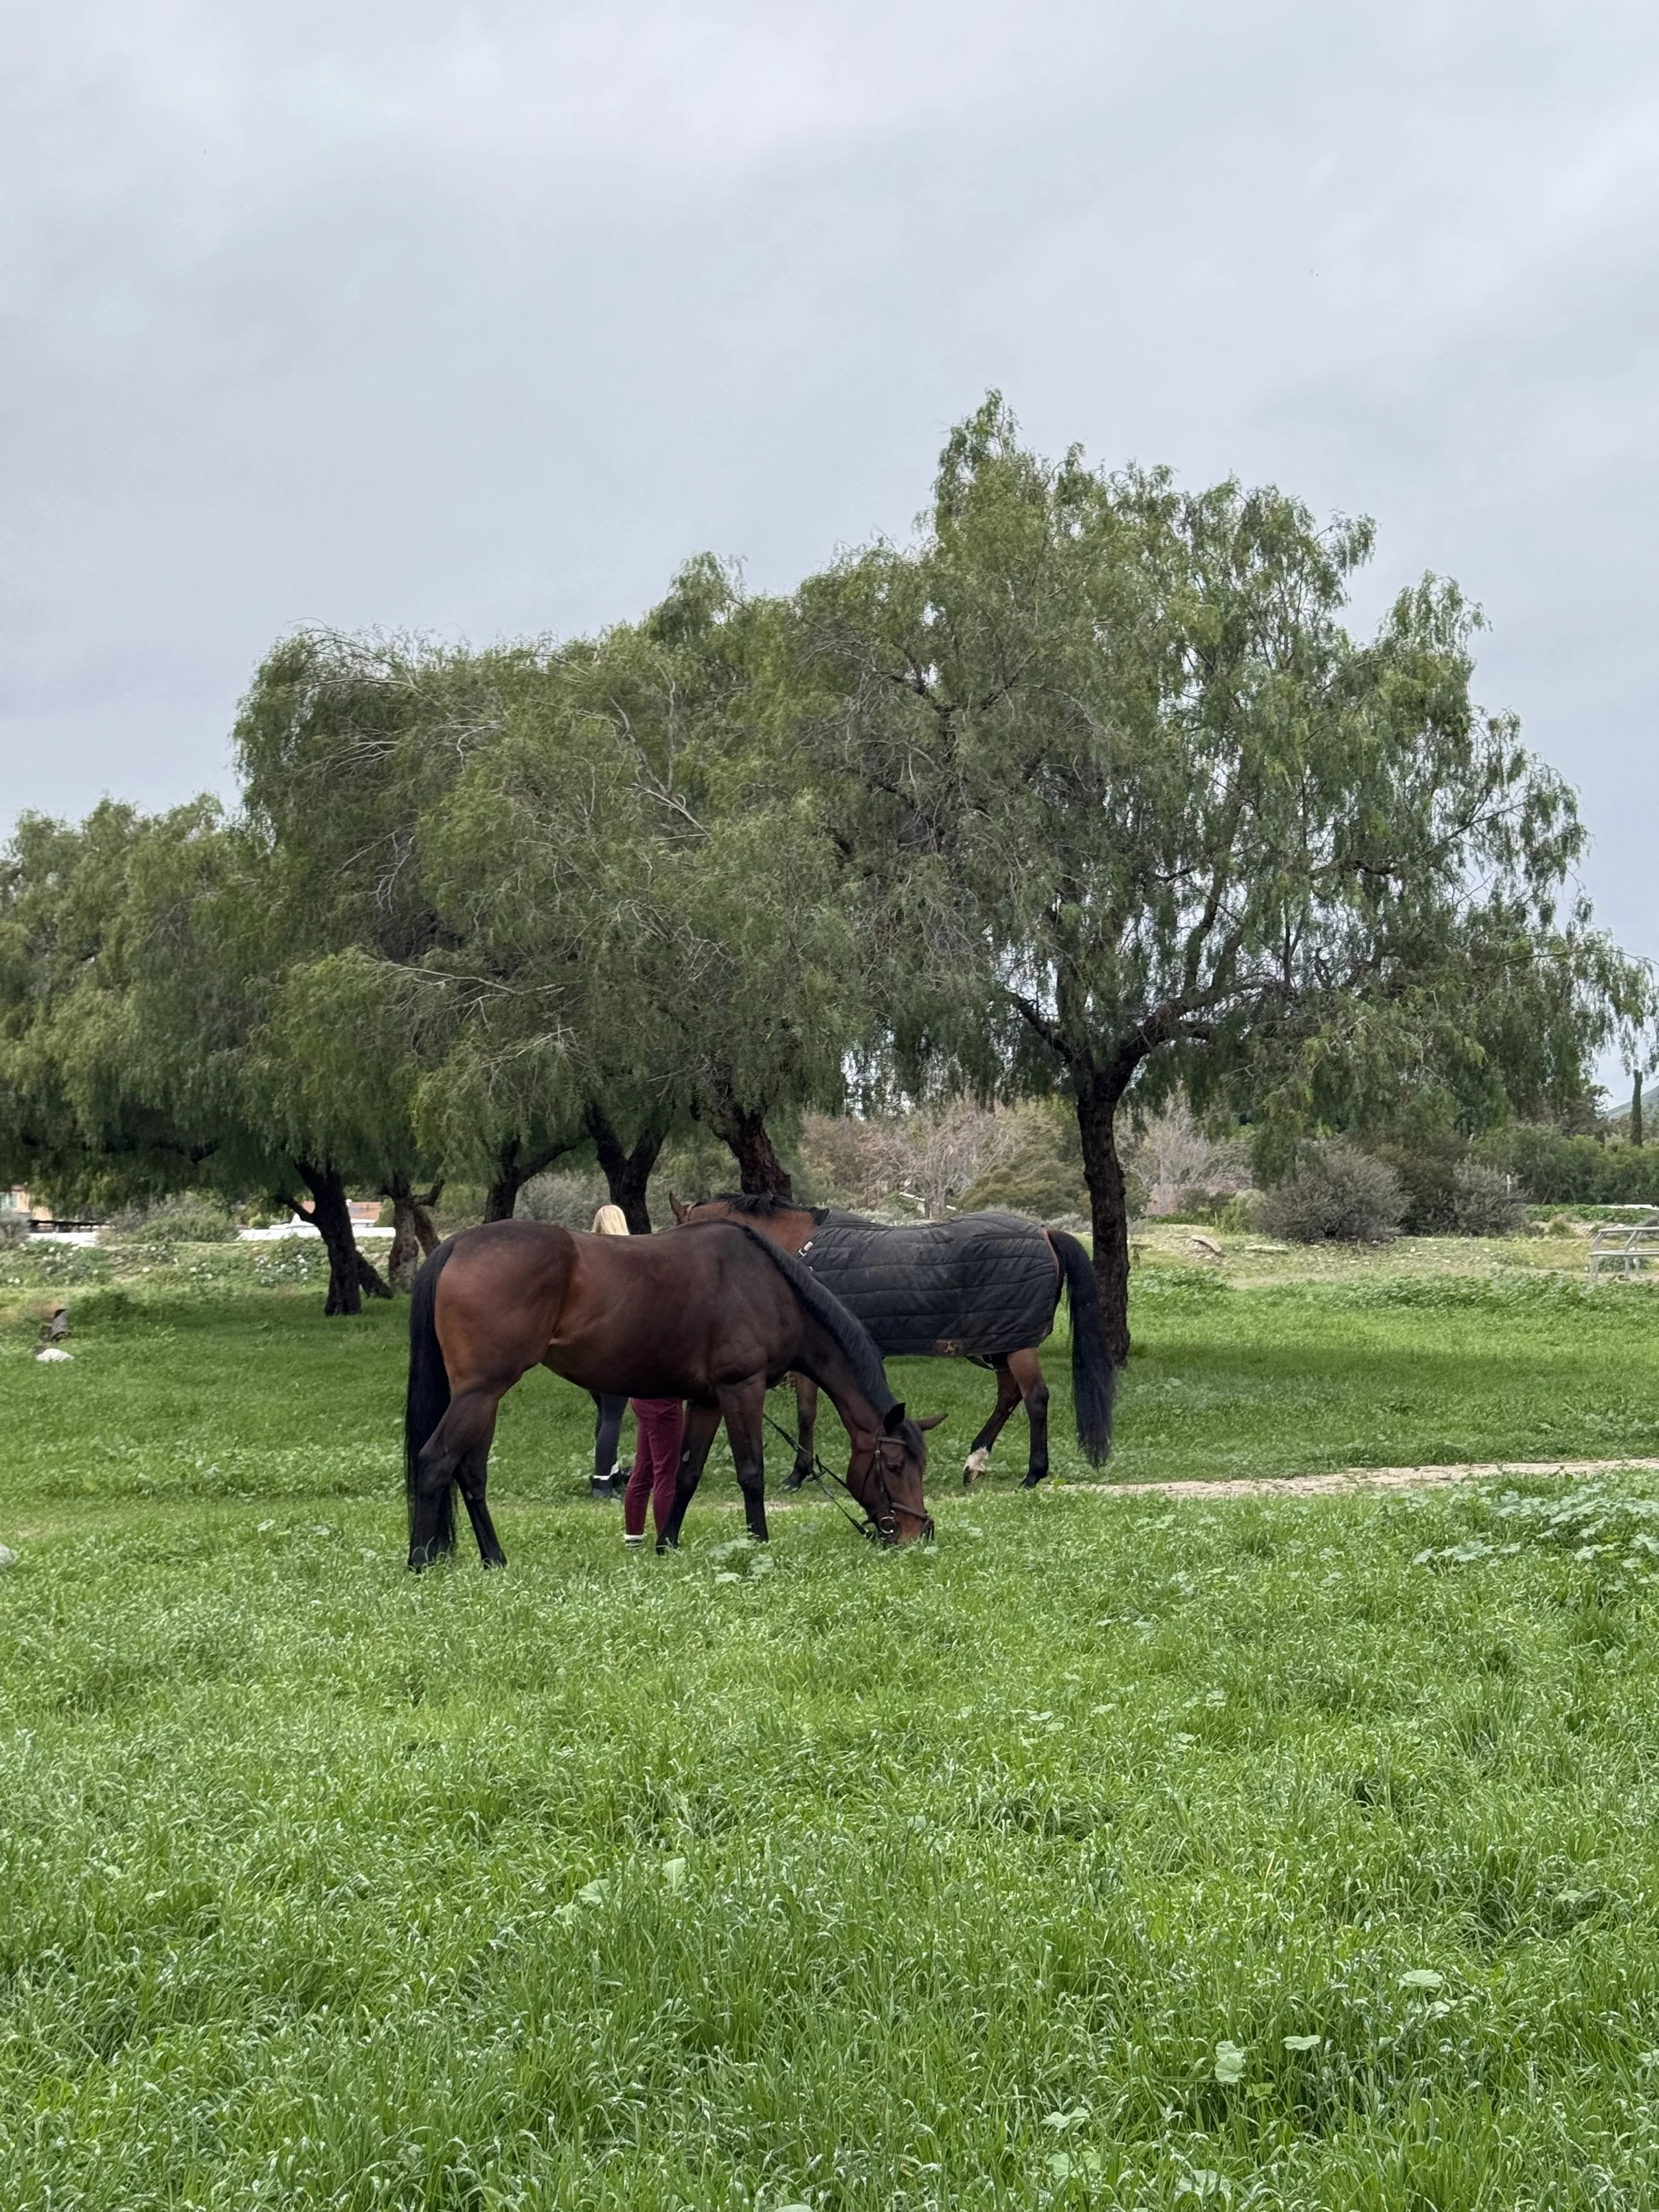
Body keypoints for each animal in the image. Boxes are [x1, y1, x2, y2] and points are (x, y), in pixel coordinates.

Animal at [404, 1216, 938, 1568]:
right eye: (894, 1466)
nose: (917, 1533)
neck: (770, 1287)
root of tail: (455, 1246)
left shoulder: (707, 1399)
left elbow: (687, 1473)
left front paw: (668, 1545)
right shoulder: (741, 1390)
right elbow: (751, 1472)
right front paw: (759, 1544)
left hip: (482, 1397)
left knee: (470, 1473)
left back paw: (494, 1558)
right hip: (481, 1392)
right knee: (435, 1461)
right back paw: (420, 1561)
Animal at [670, 1195, 1114, 1489]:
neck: (797, 1251)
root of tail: (1044, 1231)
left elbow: (805, 1413)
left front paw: (798, 1473)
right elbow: (808, 1412)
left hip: (1017, 1342)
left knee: (1035, 1397)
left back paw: (1033, 1473)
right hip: (1004, 1340)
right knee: (1010, 1395)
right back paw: (975, 1462)